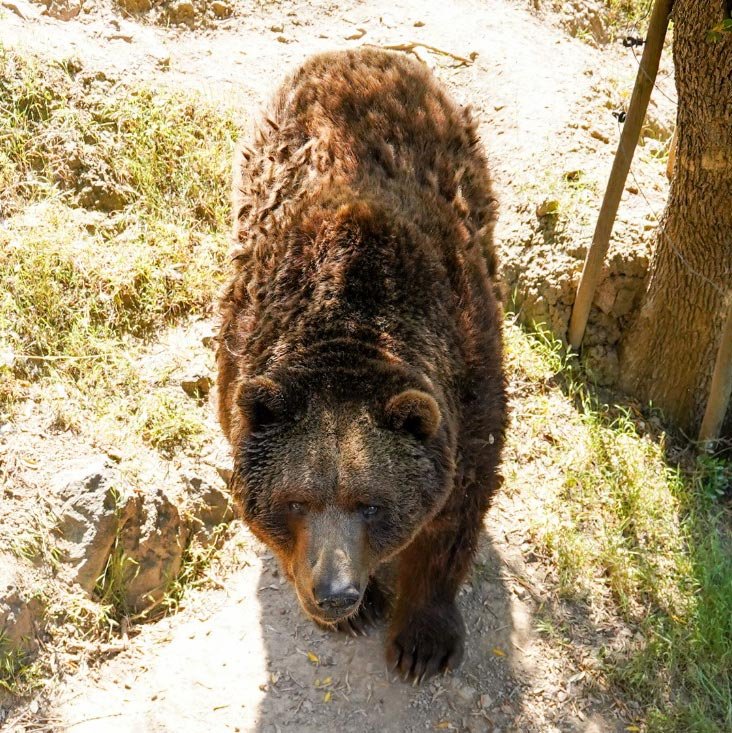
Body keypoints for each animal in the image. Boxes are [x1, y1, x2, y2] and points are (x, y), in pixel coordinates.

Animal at [214, 50, 506, 680]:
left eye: (371, 503)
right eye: (294, 501)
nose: (336, 593)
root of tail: (362, 50)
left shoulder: (467, 387)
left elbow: (453, 521)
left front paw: (422, 643)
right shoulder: (243, 364)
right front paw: (361, 613)